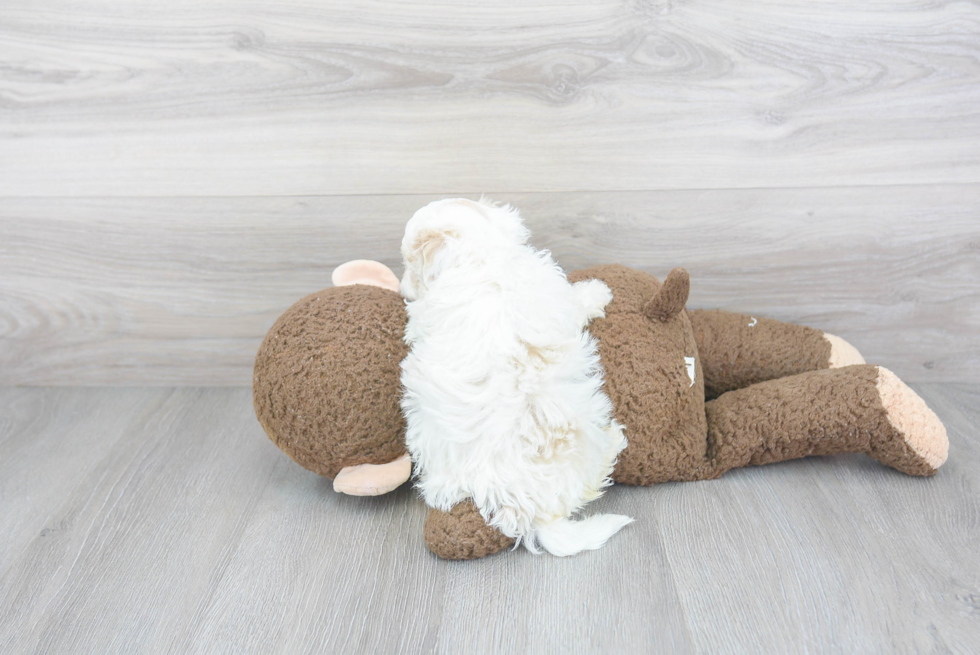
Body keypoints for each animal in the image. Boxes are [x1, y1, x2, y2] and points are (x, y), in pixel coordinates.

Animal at [400, 197, 636, 556]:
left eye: (408, 264)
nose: (401, 286)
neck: (480, 255)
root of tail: (532, 512)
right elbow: (577, 302)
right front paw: (597, 293)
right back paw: (615, 439)